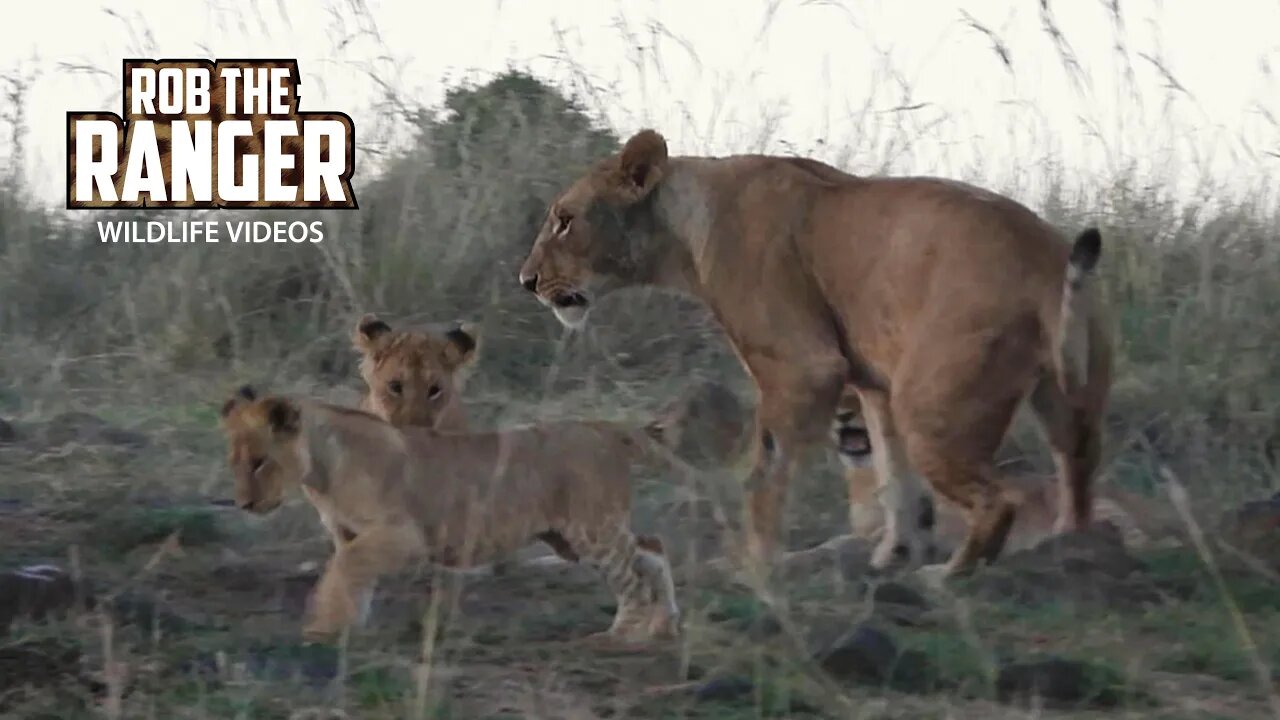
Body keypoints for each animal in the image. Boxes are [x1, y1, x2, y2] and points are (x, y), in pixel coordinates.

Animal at [218, 385, 681, 644]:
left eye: (259, 462)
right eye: (234, 461)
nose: (243, 504)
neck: (320, 472)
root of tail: (601, 427)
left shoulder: (404, 535)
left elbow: (344, 569)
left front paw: (322, 628)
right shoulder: (349, 534)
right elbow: (351, 576)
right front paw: (347, 626)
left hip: (590, 529)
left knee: (632, 576)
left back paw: (621, 637)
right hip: (570, 537)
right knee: (653, 547)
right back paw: (663, 627)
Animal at [517, 128, 1113, 581]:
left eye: (564, 219)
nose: (527, 281)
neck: (684, 230)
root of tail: (1041, 260)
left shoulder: (802, 366)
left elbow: (764, 473)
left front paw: (753, 565)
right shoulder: (873, 382)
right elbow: (894, 479)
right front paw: (889, 555)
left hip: (932, 401)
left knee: (998, 500)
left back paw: (947, 577)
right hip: (1070, 398)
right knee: (1078, 481)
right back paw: (1069, 551)